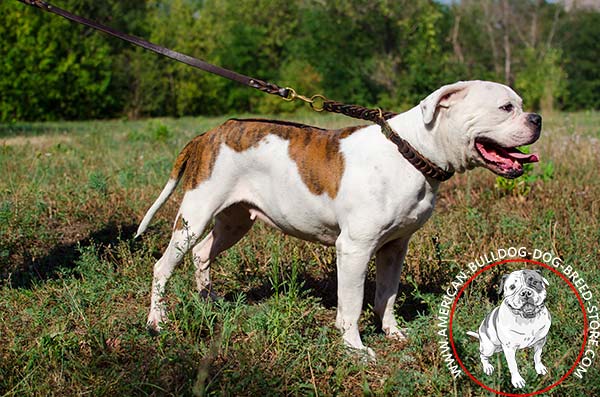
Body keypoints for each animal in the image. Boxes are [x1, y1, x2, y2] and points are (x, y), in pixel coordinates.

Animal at [138, 79, 540, 356]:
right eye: (506, 107)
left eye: (520, 105)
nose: (536, 118)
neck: (411, 150)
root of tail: (209, 133)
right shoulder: (355, 248)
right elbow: (352, 302)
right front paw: (355, 348)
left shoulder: (395, 248)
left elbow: (386, 296)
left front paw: (393, 333)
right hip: (195, 214)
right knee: (163, 266)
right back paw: (157, 321)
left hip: (235, 221)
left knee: (202, 252)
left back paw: (208, 302)